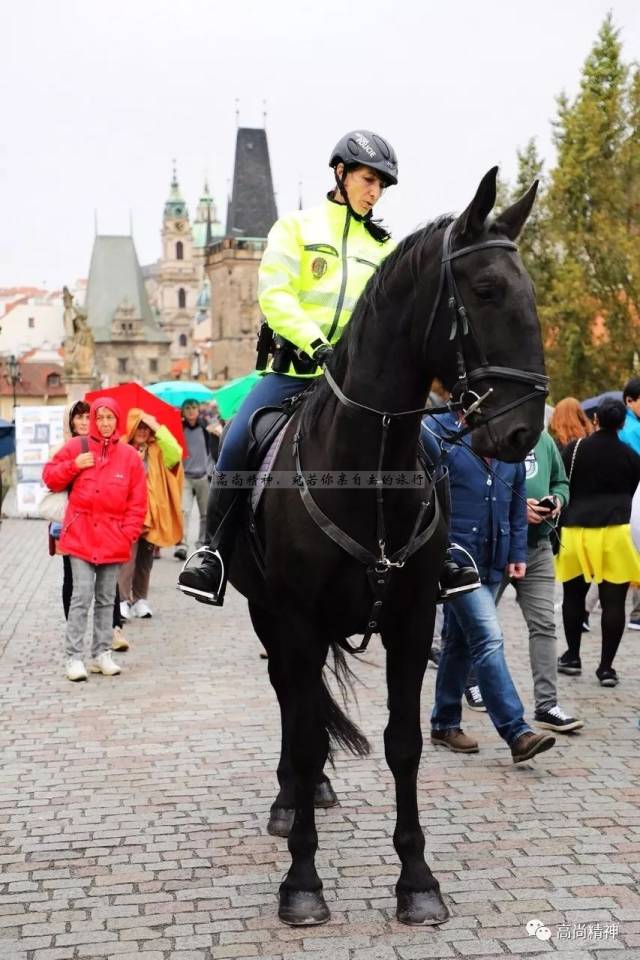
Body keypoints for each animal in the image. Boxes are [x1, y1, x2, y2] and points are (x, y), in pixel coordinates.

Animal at [228, 169, 548, 928]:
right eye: (485, 289)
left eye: (531, 290)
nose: (523, 431)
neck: (367, 471)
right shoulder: (297, 621)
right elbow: (304, 727)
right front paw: (302, 883)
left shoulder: (412, 622)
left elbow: (403, 744)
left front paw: (417, 881)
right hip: (266, 616)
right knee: (290, 700)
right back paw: (290, 800)